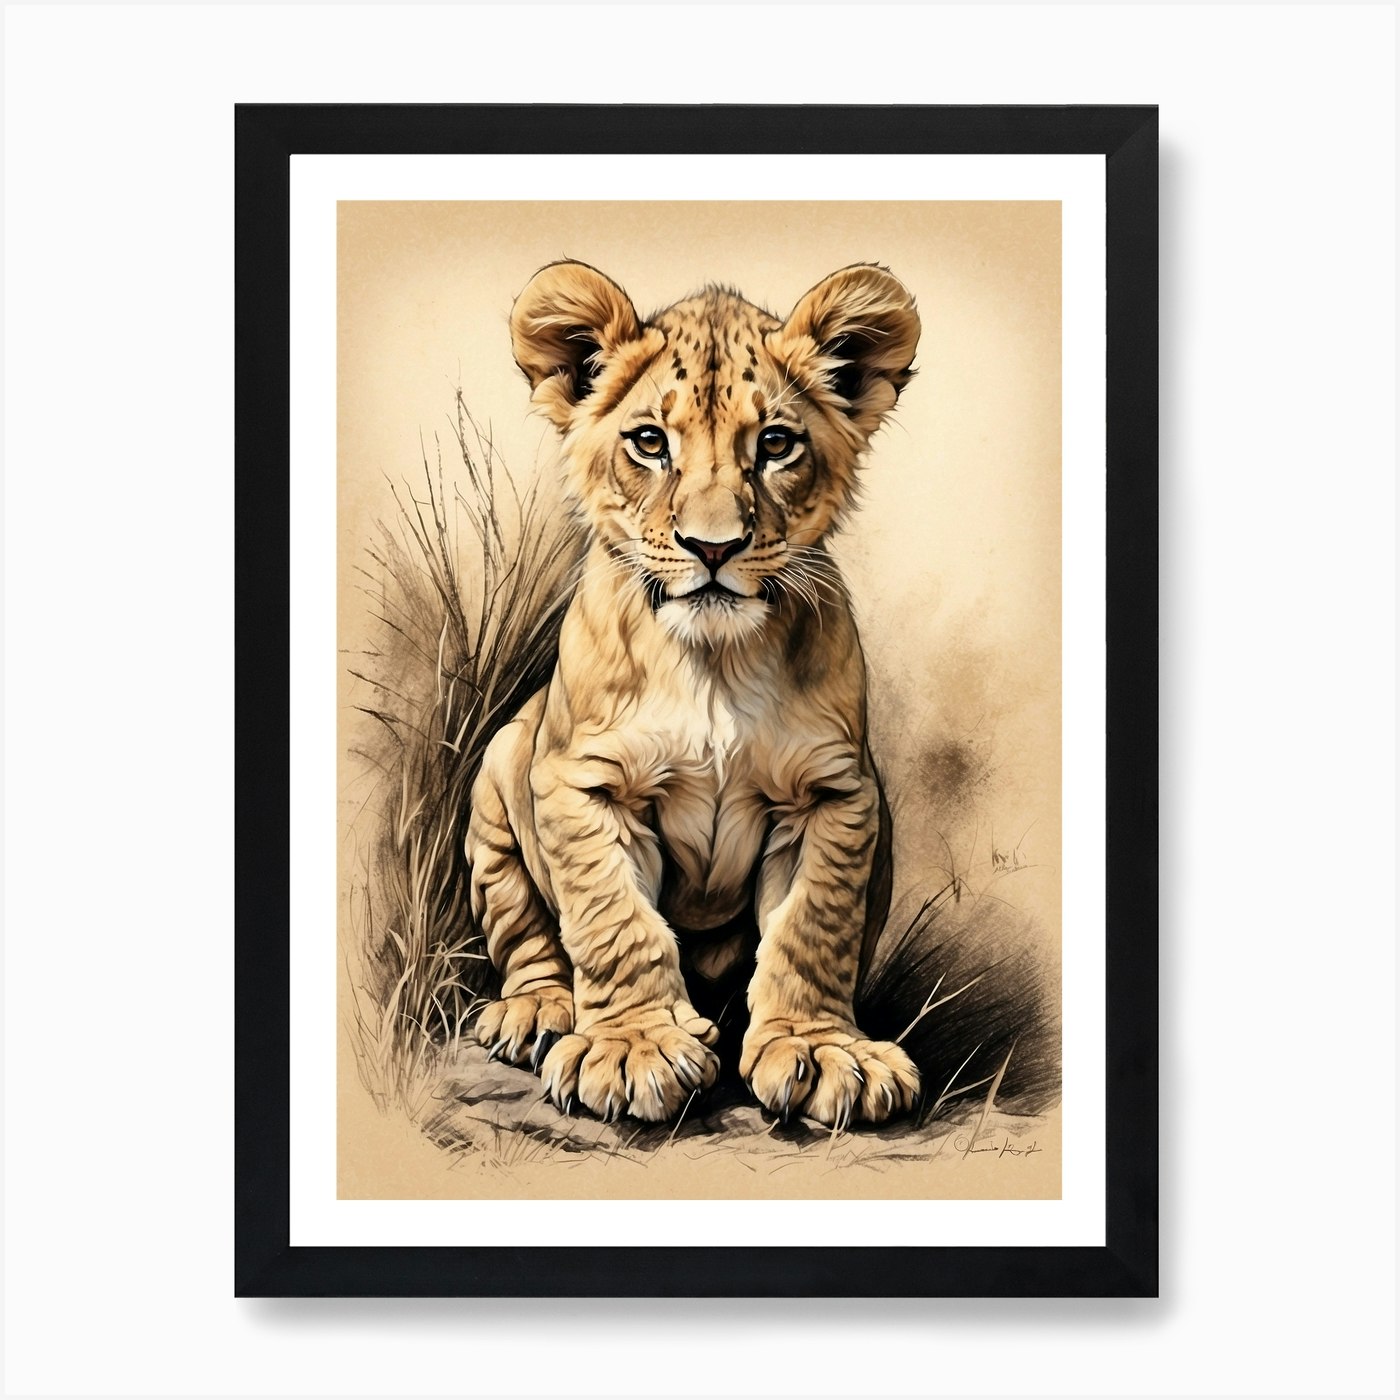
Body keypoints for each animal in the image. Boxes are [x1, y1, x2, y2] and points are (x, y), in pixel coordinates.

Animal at [466, 260, 923, 1127]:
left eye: (775, 443)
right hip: (500, 777)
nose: (714, 548)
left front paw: (820, 1049)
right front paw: (631, 1048)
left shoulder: (834, 792)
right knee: (526, 934)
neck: (713, 663)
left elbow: (814, 927)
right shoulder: (581, 783)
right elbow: (613, 921)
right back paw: (535, 1011)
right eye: (651, 442)